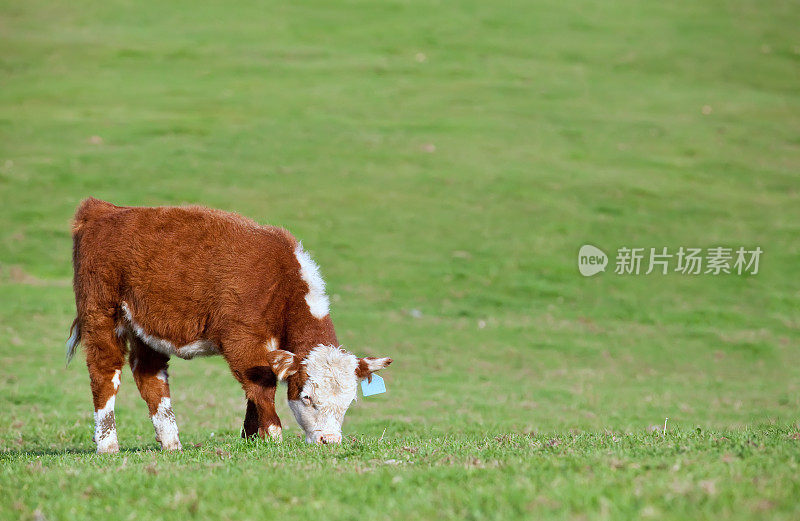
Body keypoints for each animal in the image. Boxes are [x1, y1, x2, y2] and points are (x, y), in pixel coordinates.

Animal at [67, 197, 392, 452]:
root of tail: (103, 210)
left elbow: (254, 392)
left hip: (144, 326)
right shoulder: (242, 340)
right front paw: (272, 437)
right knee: (105, 373)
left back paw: (172, 444)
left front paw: (250, 439)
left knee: (150, 376)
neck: (281, 282)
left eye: (349, 402)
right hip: (100, 312)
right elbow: (262, 389)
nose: (330, 441)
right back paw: (108, 445)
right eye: (307, 397)